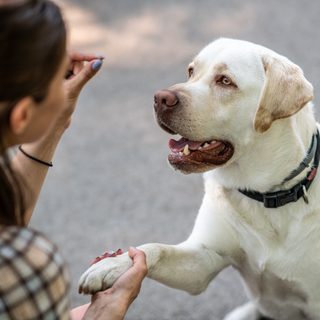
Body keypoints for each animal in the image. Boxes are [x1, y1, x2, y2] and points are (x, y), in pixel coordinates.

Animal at [78, 38, 320, 318]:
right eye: (191, 71)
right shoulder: (203, 261)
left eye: (225, 81)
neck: (266, 195)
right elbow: (155, 249)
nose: (160, 98)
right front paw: (113, 264)